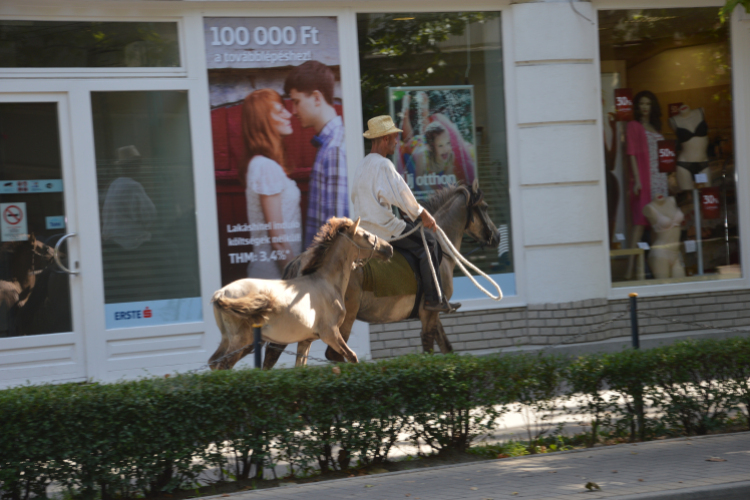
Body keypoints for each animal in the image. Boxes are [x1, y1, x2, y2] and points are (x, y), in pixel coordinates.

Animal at [207, 217, 394, 370]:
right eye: (366, 235)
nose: (389, 248)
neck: (326, 284)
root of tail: (220, 293)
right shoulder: (330, 334)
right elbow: (352, 357)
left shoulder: (306, 340)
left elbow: (300, 367)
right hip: (241, 341)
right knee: (224, 365)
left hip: (228, 339)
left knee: (213, 363)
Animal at [262, 181, 500, 368]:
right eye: (485, 207)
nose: (496, 236)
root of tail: (301, 259)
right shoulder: (430, 312)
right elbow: (429, 346)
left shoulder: (433, 314)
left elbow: (446, 347)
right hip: (343, 319)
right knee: (333, 354)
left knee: (278, 353)